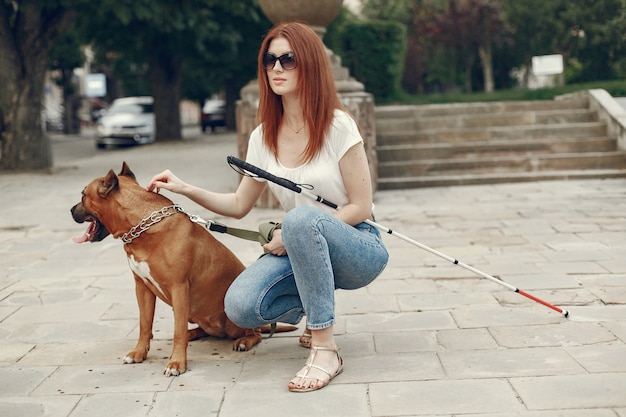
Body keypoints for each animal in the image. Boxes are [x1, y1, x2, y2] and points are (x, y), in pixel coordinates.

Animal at [71, 162, 292, 374]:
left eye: (83, 194)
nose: (71, 209)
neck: (141, 228)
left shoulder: (178, 287)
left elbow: (177, 329)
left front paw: (176, 363)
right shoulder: (142, 288)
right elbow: (144, 324)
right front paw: (139, 352)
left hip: (233, 319)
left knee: (255, 333)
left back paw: (244, 341)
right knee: (204, 329)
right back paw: (192, 333)